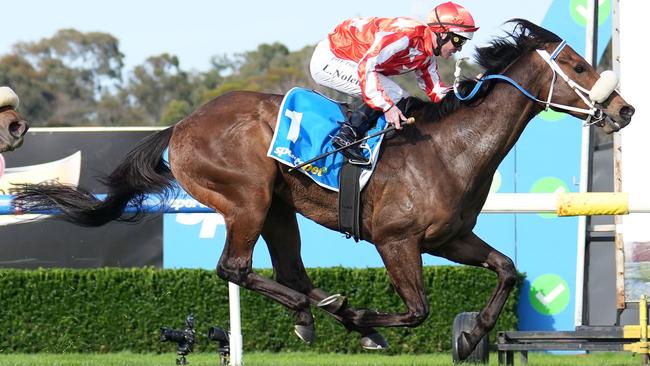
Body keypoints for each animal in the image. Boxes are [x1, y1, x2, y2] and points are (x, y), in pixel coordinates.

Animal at [13, 18, 632, 358]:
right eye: (579, 64)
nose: (625, 110)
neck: (450, 148)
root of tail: (182, 126)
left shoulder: (450, 238)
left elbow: (505, 269)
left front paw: (473, 333)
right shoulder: (396, 241)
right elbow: (417, 310)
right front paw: (367, 323)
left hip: (278, 209)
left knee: (288, 270)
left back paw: (319, 310)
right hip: (246, 199)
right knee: (235, 268)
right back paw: (325, 310)